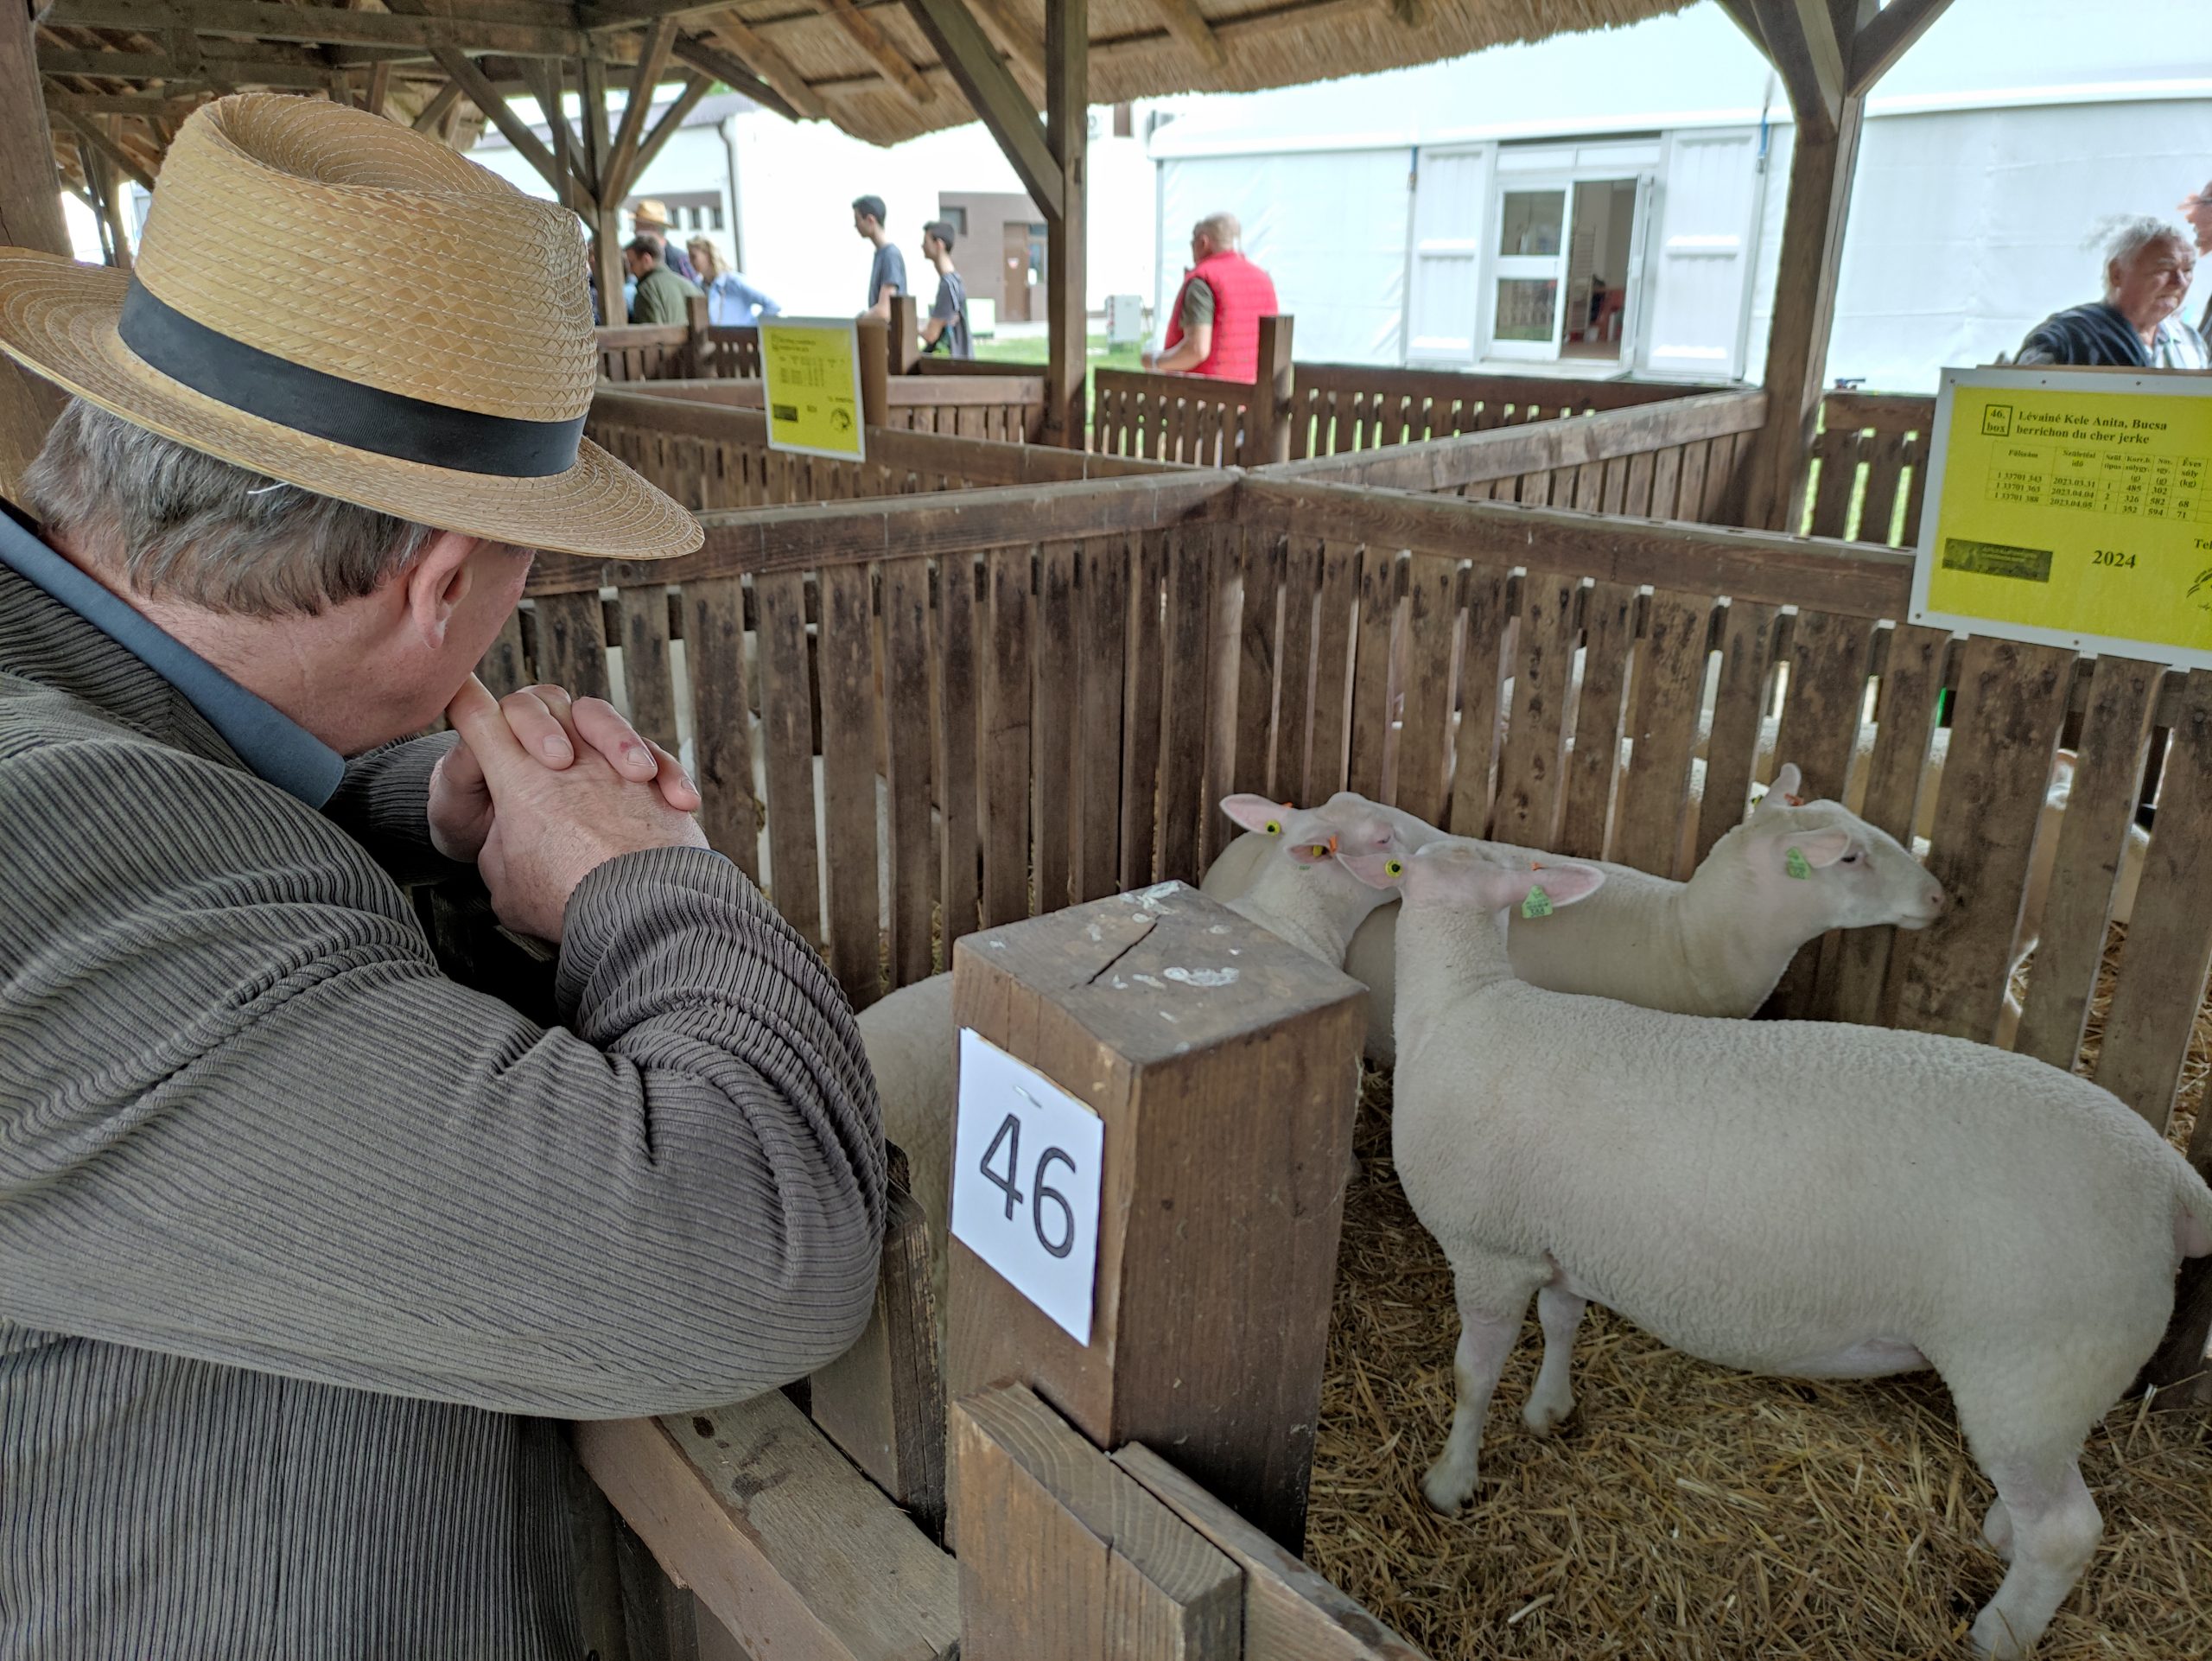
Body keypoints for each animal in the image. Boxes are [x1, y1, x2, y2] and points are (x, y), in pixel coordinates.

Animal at [1344, 836, 2212, 1654]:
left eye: (1402, 870)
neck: (1464, 1001)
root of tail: (2174, 1182)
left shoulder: (1486, 1247)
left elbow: (1472, 1376)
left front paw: (1450, 1482)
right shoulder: (1557, 1240)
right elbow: (1563, 1325)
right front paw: (1549, 1410)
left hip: (2032, 1365)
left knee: (2065, 1533)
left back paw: (1997, 1634)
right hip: (2051, 1386)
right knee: (2043, 1499)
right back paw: (1999, 1536)